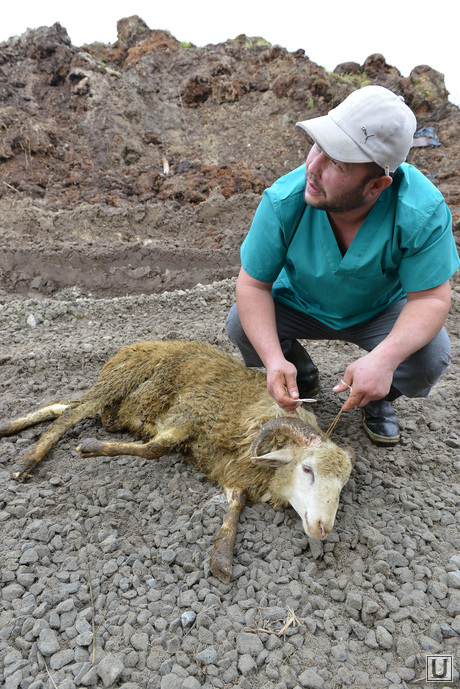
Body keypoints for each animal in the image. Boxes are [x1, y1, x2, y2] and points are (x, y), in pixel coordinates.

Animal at [0, 338, 356, 580]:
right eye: (307, 469)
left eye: (341, 488)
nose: (323, 528)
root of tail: (141, 344)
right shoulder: (192, 413)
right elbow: (155, 449)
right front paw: (89, 447)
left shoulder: (231, 471)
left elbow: (236, 505)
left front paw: (222, 556)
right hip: (119, 379)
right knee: (72, 413)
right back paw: (26, 462)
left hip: (116, 407)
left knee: (66, 406)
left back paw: (9, 427)